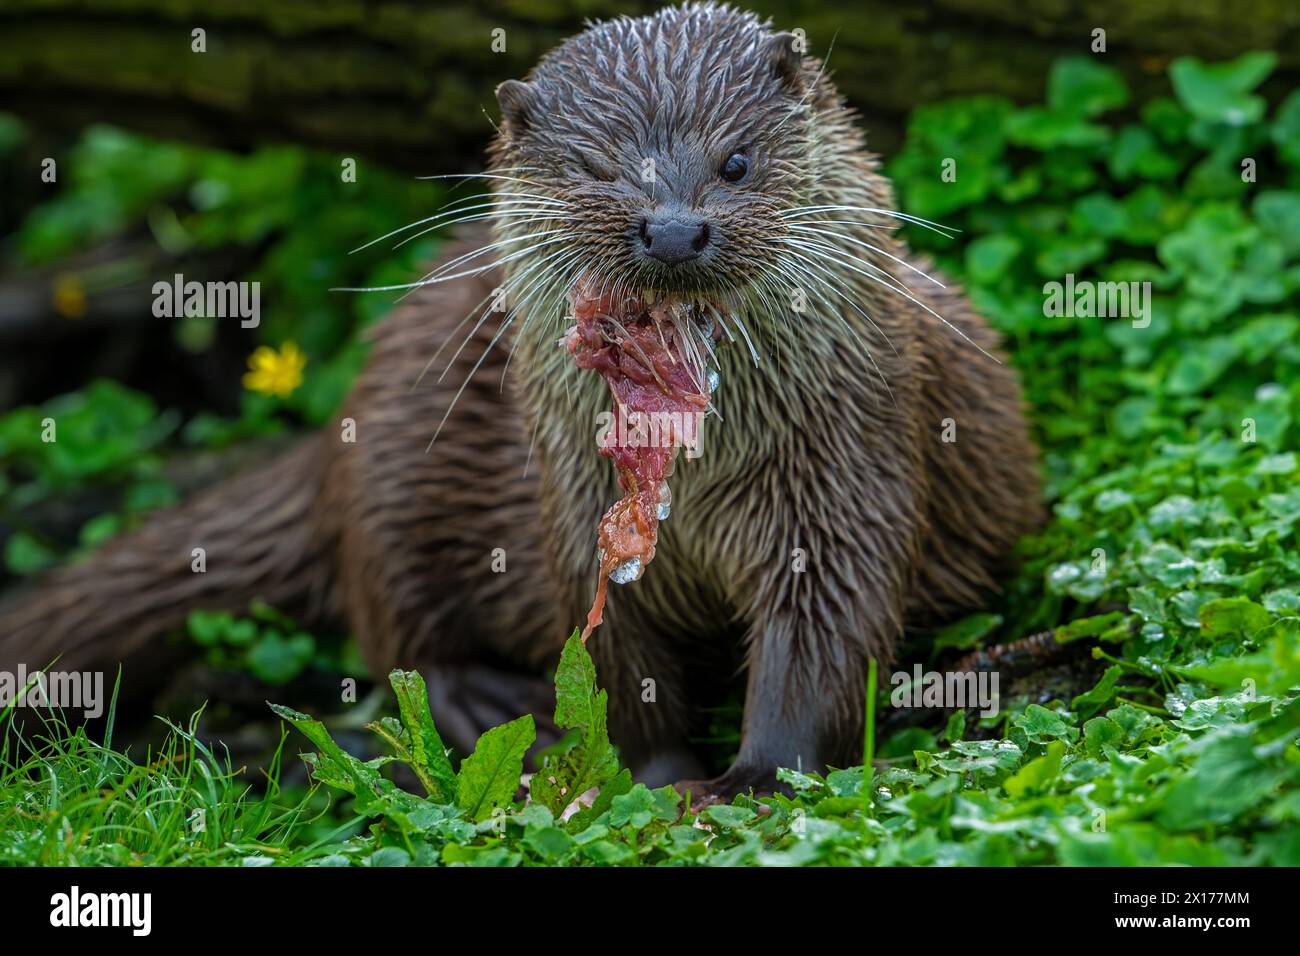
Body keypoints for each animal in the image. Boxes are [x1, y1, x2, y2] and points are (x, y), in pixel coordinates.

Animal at [0, 3, 1041, 803]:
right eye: (597, 170)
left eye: (737, 162)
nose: (673, 228)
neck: (708, 492)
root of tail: (328, 446)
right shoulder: (574, 514)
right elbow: (617, 674)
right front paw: (654, 781)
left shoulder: (847, 477)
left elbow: (822, 644)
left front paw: (753, 778)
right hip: (393, 474)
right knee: (386, 614)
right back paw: (478, 701)